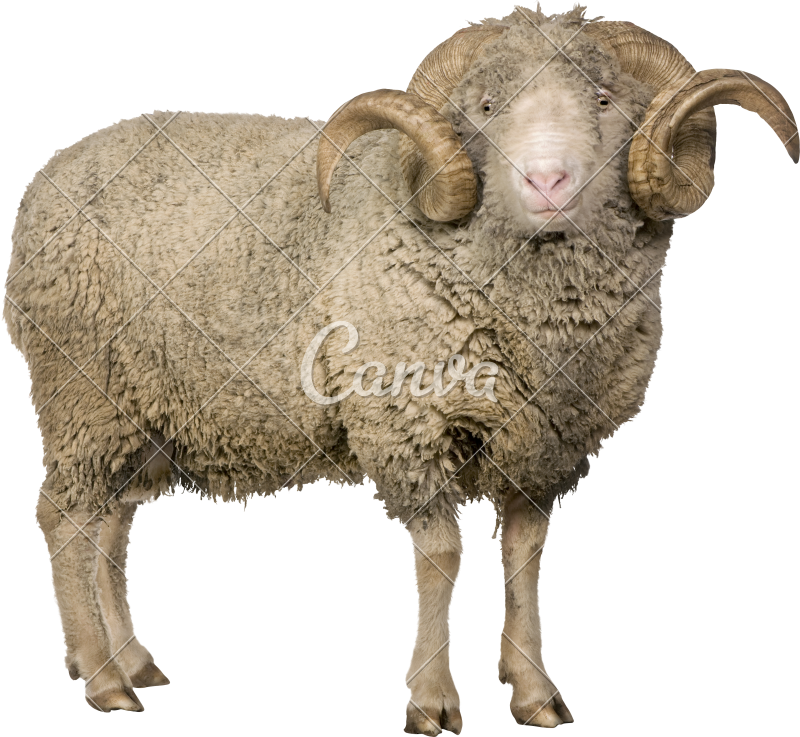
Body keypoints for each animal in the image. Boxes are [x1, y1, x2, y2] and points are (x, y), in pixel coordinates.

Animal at [4, 1, 797, 732]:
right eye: (486, 107)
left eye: (604, 100)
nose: (549, 182)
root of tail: (50, 174)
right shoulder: (409, 424)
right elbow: (442, 558)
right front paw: (432, 699)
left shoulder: (543, 445)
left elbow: (526, 557)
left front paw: (534, 690)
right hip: (83, 394)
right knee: (64, 519)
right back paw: (103, 678)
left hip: (141, 411)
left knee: (111, 525)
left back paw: (130, 659)